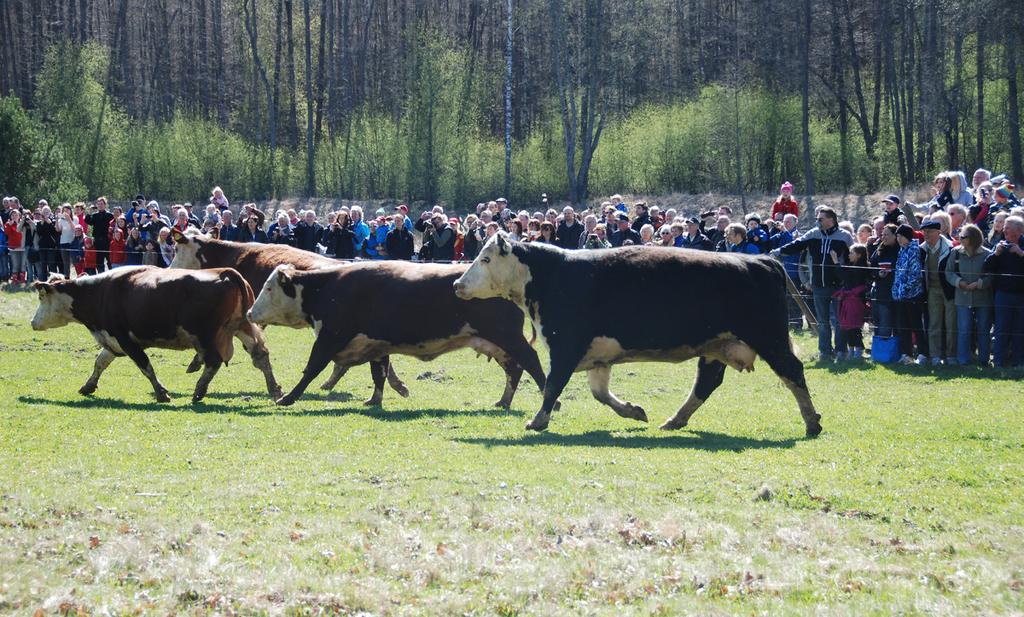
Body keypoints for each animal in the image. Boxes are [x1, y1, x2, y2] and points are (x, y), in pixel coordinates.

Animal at [31, 266, 282, 403]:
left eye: (42, 297)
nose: (33, 322)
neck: (99, 292)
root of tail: (225, 273)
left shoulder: (125, 339)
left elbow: (145, 366)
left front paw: (161, 393)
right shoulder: (113, 340)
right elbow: (100, 362)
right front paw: (88, 386)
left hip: (206, 335)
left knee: (213, 361)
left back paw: (199, 391)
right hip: (242, 327)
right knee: (260, 356)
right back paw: (274, 388)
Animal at [456, 234, 823, 437]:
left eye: (485, 258)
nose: (457, 283)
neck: (552, 274)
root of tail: (762, 260)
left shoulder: (565, 345)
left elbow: (552, 384)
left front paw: (538, 420)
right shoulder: (597, 357)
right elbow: (600, 393)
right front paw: (633, 411)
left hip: (769, 338)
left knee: (793, 371)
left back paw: (812, 422)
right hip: (716, 345)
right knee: (706, 383)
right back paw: (675, 420)